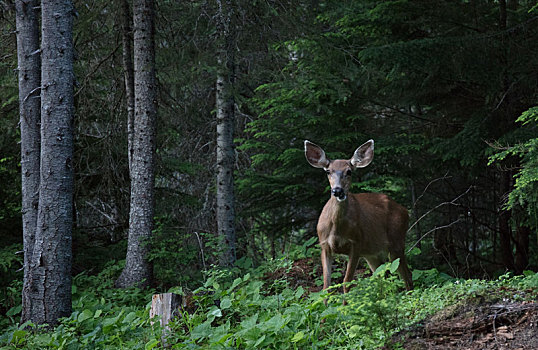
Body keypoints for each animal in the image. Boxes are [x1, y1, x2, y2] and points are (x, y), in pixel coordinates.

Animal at [304, 138, 412, 294]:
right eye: (328, 171)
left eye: (349, 171)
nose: (337, 190)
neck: (336, 229)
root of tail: (404, 210)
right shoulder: (324, 245)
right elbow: (326, 286)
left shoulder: (356, 243)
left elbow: (346, 282)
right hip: (372, 253)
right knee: (382, 275)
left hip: (396, 241)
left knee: (406, 274)